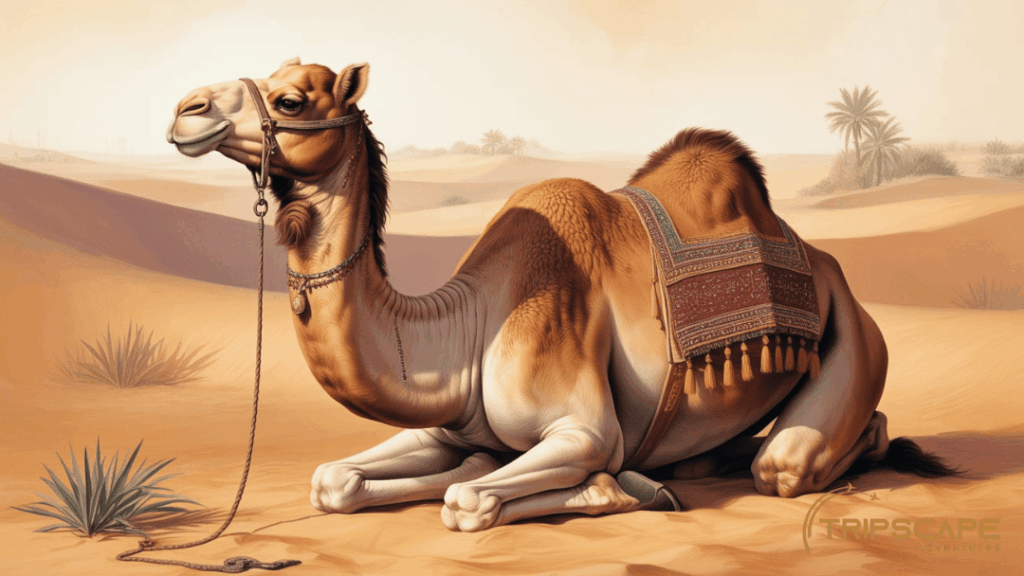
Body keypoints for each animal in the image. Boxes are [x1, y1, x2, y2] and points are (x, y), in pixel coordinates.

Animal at [166, 59, 955, 532]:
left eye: (292, 97)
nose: (185, 106)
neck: (473, 322)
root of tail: (828, 267)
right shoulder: (445, 423)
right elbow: (335, 481)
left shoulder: (583, 429)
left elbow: (469, 498)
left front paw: (618, 490)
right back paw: (693, 463)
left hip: (854, 343)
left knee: (794, 458)